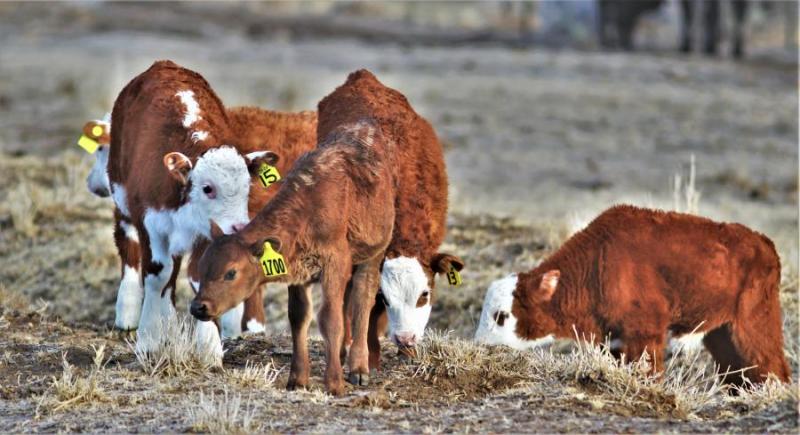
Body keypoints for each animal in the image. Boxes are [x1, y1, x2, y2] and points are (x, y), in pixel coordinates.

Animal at [108, 60, 280, 354]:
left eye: (248, 187)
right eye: (207, 188)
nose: (239, 227)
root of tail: (164, 64)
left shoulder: (207, 233)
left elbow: (199, 274)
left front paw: (209, 348)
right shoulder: (151, 222)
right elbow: (157, 274)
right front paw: (150, 339)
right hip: (121, 192)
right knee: (128, 242)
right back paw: (128, 312)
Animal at [190, 70, 462, 395]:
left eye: (231, 272)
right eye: (204, 267)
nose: (199, 307)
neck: (309, 206)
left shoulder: (336, 264)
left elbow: (331, 319)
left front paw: (335, 382)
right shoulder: (298, 271)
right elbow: (299, 318)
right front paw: (298, 379)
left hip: (371, 256)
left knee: (361, 301)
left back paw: (358, 366)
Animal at [475, 205, 791, 385]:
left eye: (501, 316)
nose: (480, 346)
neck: (598, 263)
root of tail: (765, 243)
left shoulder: (644, 333)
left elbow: (649, 370)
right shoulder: (613, 339)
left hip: (753, 325)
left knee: (771, 365)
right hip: (721, 333)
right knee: (737, 371)